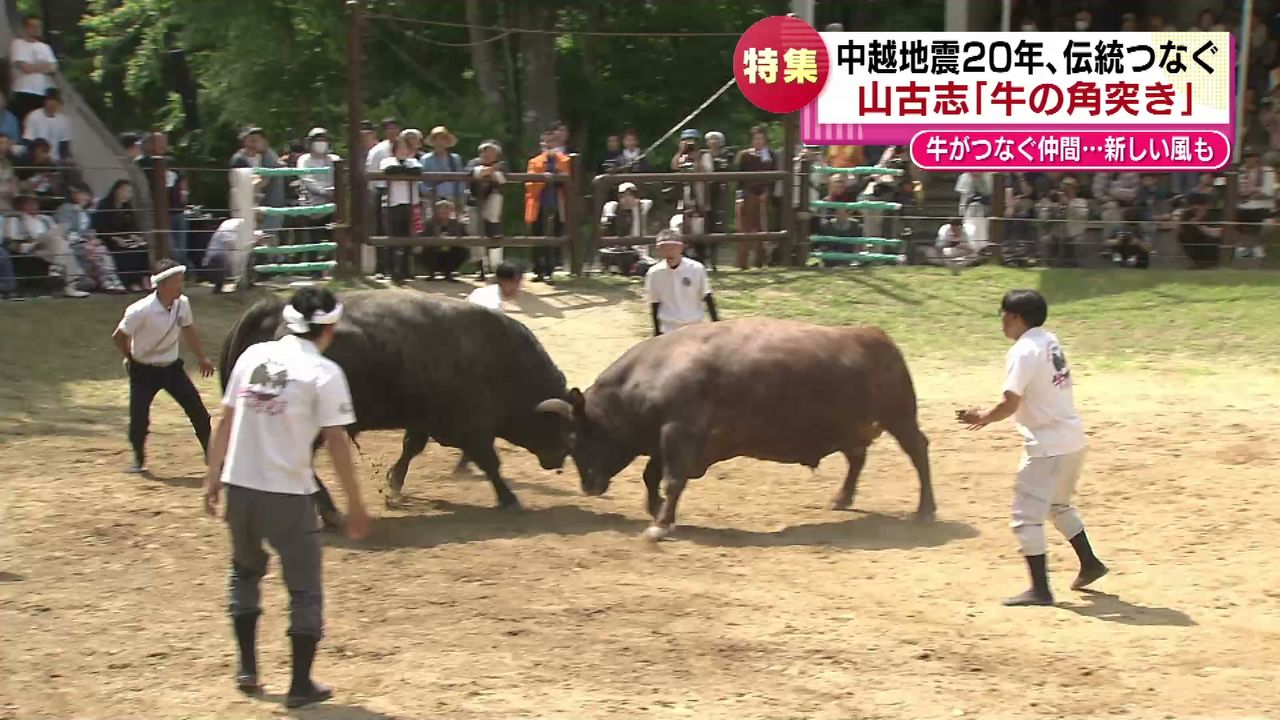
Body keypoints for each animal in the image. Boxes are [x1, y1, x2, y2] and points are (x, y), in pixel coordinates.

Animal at [218, 288, 570, 512]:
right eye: (557, 424)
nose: (561, 456)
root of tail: (274, 310)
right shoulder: (472, 429)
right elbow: (491, 463)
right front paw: (509, 498)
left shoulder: (424, 421)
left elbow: (410, 449)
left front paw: (393, 486)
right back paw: (329, 512)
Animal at [535, 316, 936, 535]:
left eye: (576, 438)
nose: (588, 487)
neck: (652, 373)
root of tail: (876, 337)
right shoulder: (665, 440)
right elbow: (653, 476)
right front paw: (657, 509)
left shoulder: (679, 434)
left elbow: (671, 480)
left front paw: (660, 524)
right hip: (854, 427)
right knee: (856, 458)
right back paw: (841, 498)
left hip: (900, 417)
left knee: (918, 452)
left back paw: (925, 509)